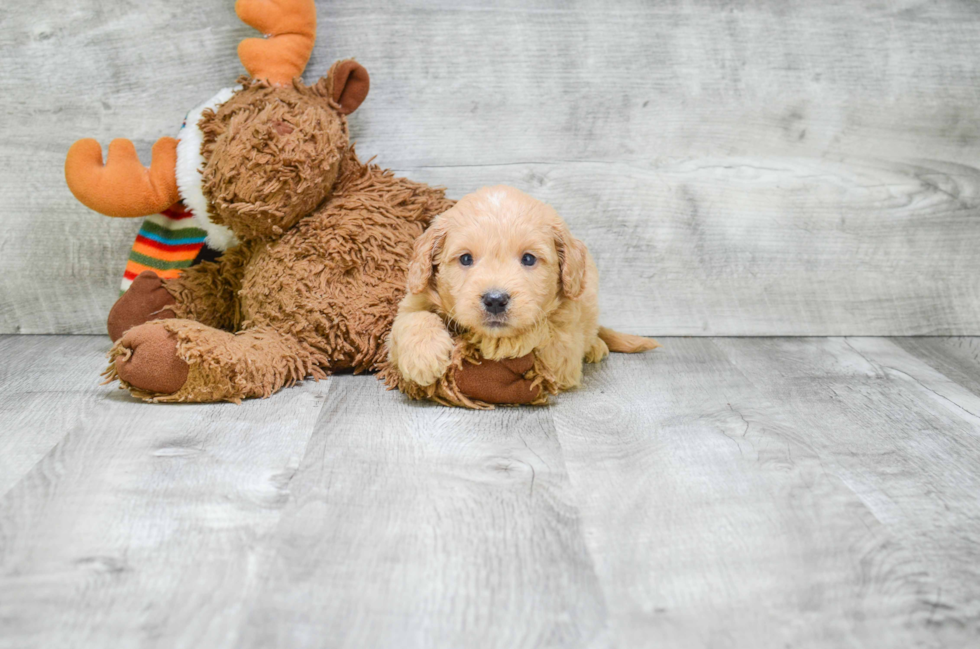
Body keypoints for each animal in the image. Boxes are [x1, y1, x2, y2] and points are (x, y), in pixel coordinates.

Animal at [388, 185, 660, 402]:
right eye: (465, 259)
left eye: (528, 259)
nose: (495, 300)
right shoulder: (411, 304)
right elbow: (414, 319)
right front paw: (423, 357)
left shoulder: (564, 349)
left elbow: (540, 333)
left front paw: (500, 343)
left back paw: (596, 346)